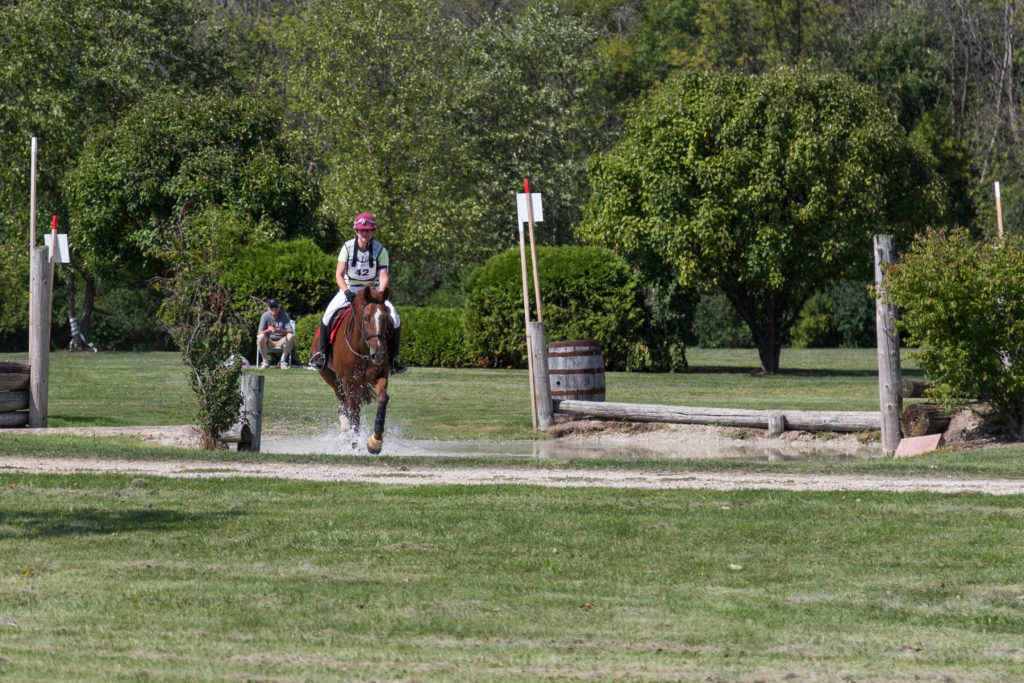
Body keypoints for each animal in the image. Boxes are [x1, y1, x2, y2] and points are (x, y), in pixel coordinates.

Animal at [311, 286, 391, 454]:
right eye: (366, 318)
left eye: (386, 318)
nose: (379, 354)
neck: (364, 347)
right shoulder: (348, 379)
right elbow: (353, 410)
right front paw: (354, 444)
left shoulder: (380, 375)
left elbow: (382, 398)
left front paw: (375, 442)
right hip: (328, 374)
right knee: (341, 396)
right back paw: (345, 422)